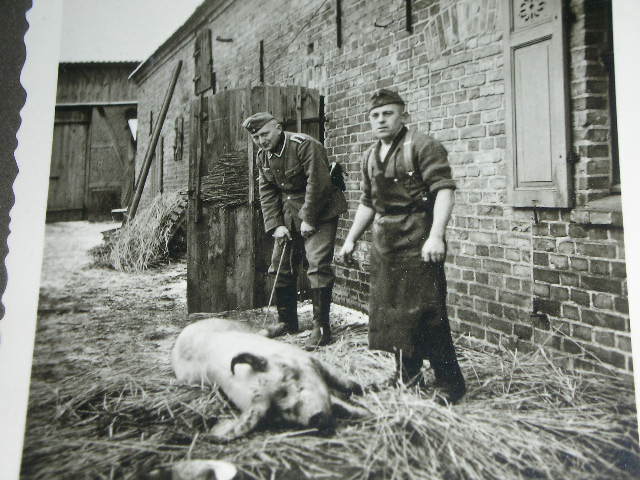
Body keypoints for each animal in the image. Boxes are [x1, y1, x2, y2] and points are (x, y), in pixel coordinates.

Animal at [171, 317, 365, 442]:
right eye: (278, 413)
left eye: (292, 385)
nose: (316, 420)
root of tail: (188, 328)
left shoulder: (308, 358)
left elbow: (340, 379)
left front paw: (361, 392)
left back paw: (280, 325)